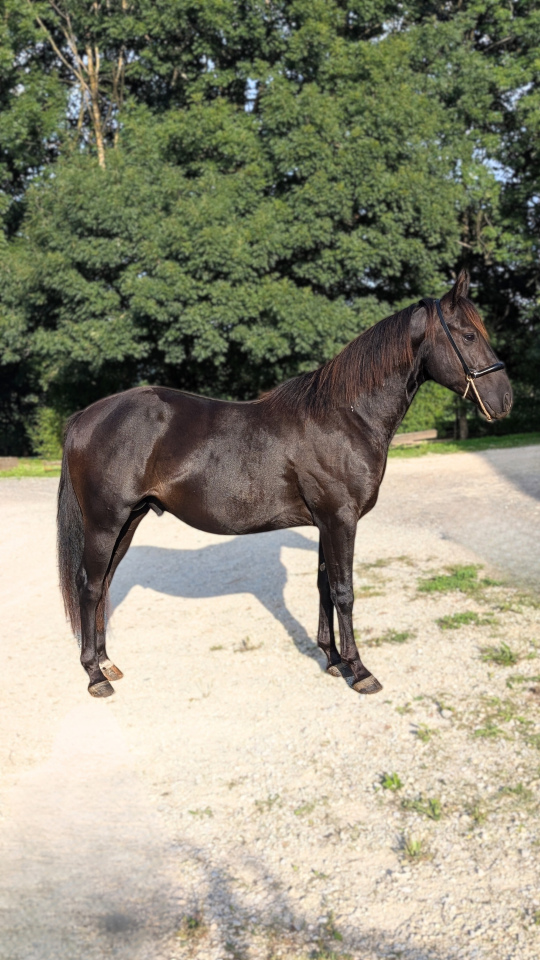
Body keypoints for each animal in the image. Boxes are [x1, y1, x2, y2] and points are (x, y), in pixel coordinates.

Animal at [57, 270, 512, 698]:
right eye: (468, 334)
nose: (505, 399)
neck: (344, 417)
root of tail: (85, 417)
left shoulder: (327, 523)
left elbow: (325, 587)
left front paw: (334, 661)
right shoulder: (340, 519)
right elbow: (344, 592)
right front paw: (361, 671)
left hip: (128, 522)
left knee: (103, 585)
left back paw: (107, 663)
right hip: (105, 524)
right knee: (90, 587)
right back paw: (95, 676)